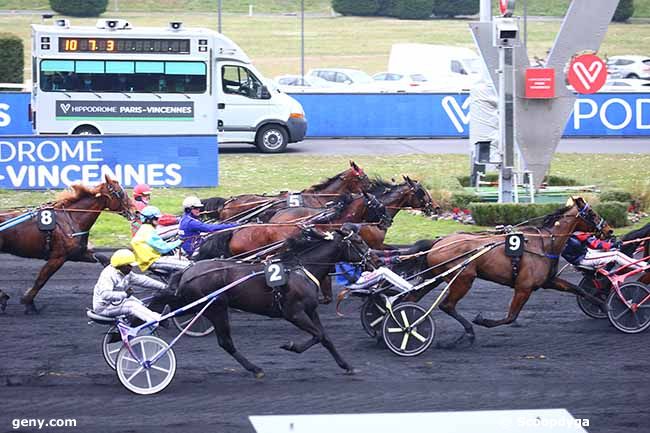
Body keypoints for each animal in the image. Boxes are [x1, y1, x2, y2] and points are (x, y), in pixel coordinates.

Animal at [0, 174, 132, 312]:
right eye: (120, 193)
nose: (135, 209)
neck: (71, 218)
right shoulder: (58, 257)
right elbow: (41, 280)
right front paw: (28, 302)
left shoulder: (77, 253)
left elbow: (104, 259)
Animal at [167, 224, 370, 376]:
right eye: (358, 241)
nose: (374, 257)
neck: (299, 270)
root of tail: (186, 272)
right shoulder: (294, 313)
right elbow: (318, 335)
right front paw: (290, 346)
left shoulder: (310, 310)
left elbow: (325, 337)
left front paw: (346, 365)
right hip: (216, 308)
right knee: (226, 342)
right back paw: (255, 368)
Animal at [408, 197, 612, 346]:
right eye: (591, 213)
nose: (609, 230)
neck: (545, 243)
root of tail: (438, 242)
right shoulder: (523, 287)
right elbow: (510, 316)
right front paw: (483, 320)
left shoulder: (549, 281)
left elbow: (579, 290)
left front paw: (604, 306)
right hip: (463, 278)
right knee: (447, 305)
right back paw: (467, 333)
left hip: (436, 277)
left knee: (412, 297)